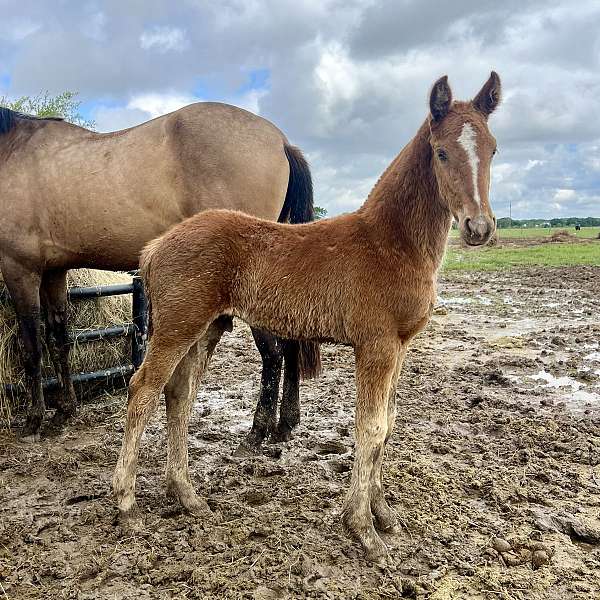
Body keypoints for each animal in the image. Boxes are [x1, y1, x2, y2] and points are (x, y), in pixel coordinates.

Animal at [0, 102, 318, 440]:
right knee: (288, 344)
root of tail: (281, 142)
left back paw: (259, 428)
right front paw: (63, 412)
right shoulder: (53, 271)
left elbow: (31, 348)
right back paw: (286, 422)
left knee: (272, 352)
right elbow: (58, 341)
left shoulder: (19, 269)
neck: (13, 150)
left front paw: (34, 420)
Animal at [113, 72, 502, 560]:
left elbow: (388, 426)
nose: (478, 227)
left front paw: (384, 515)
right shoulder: (375, 346)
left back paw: (186, 495)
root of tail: (155, 247)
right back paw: (126, 503)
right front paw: (363, 529)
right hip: (177, 325)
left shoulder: (399, 347)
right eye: (442, 151)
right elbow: (371, 428)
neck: (390, 242)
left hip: (205, 328)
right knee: (143, 389)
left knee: (179, 393)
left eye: (493, 149)